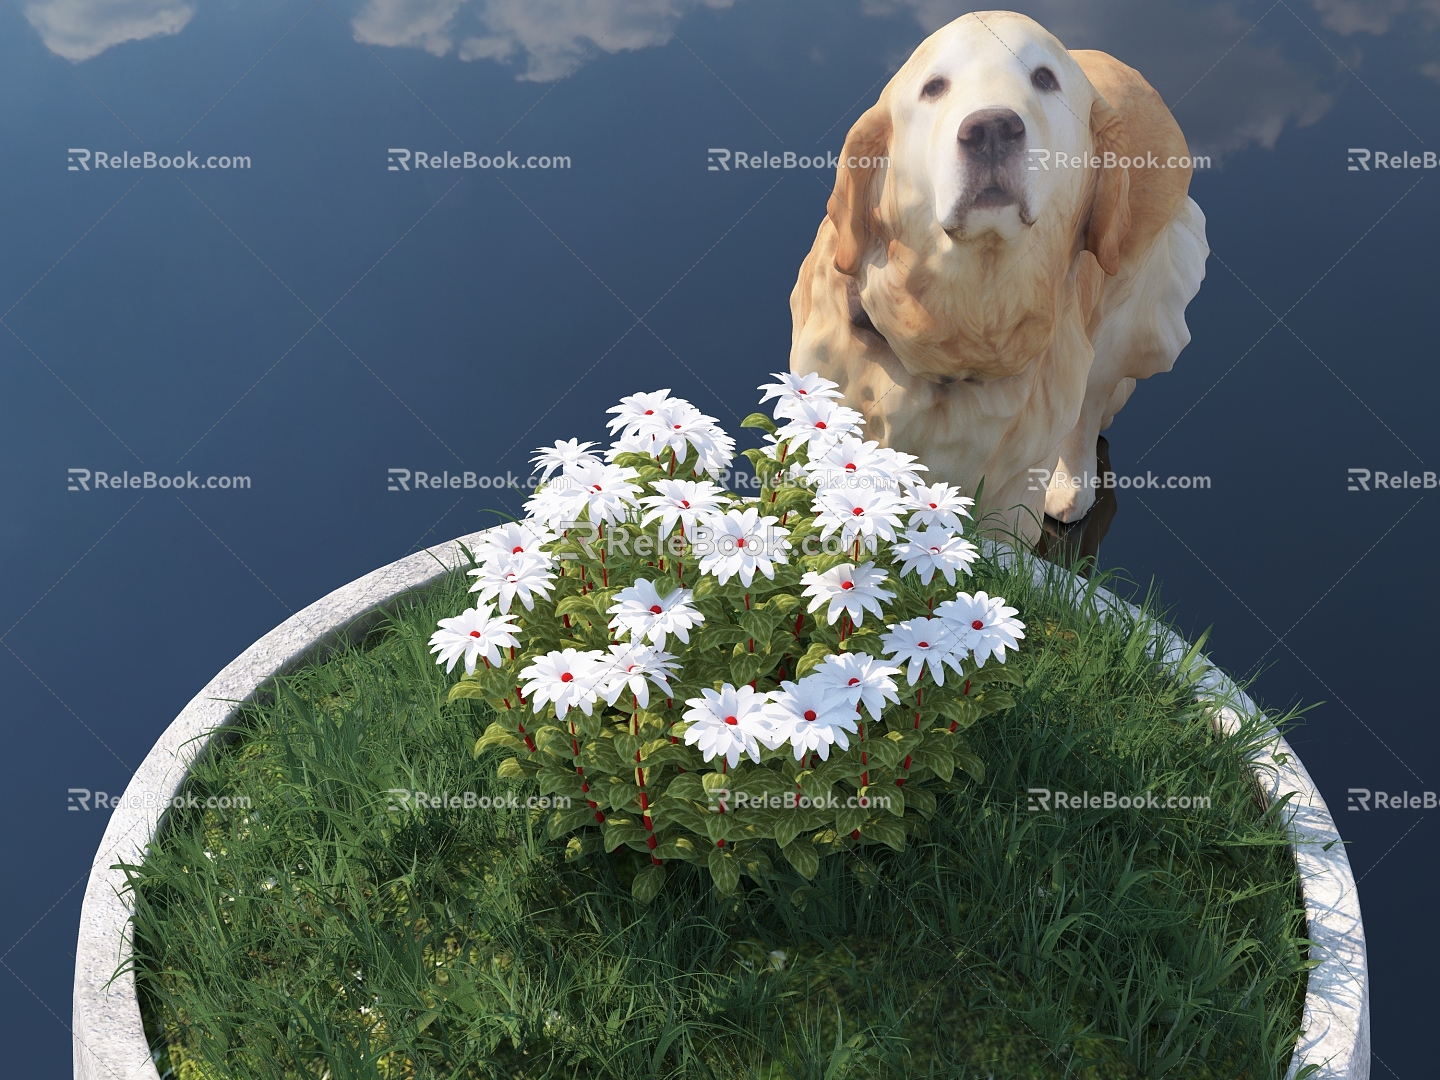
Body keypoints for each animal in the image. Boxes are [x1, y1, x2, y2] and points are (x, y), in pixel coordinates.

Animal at [794, 10, 1209, 541]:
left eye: (1045, 78)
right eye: (934, 87)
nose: (991, 128)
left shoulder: (1009, 498)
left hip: (1132, 318)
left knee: (1089, 403)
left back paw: (1071, 488)